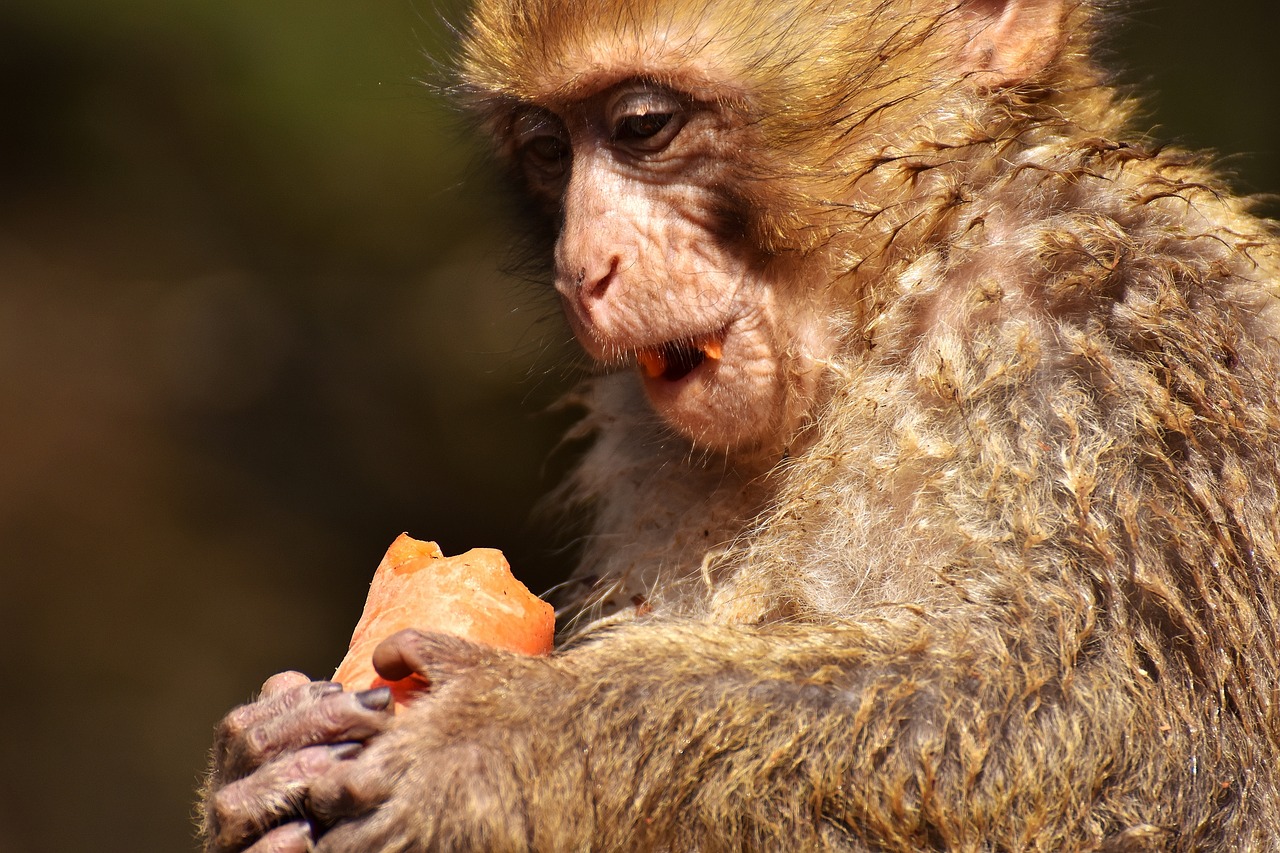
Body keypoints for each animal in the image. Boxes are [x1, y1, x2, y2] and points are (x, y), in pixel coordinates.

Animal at [194, 0, 1280, 845]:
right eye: (548, 152)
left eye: (640, 125)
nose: (581, 268)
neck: (901, 282)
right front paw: (260, 763)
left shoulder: (1124, 324)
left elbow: (1133, 752)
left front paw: (514, 739)